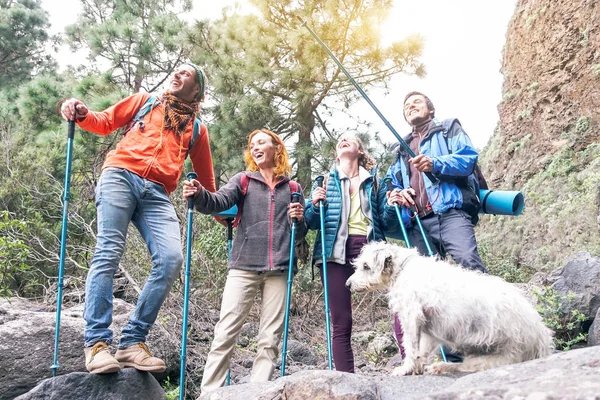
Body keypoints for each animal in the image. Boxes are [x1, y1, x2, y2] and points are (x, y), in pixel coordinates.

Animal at [346, 242, 552, 376]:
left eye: (366, 266)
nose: (348, 284)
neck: (404, 269)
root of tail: (541, 339)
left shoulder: (410, 317)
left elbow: (410, 347)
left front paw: (405, 368)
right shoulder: (428, 330)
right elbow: (421, 351)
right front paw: (417, 368)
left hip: (497, 358)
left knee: (465, 367)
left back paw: (443, 367)